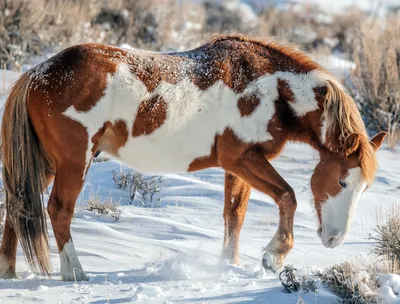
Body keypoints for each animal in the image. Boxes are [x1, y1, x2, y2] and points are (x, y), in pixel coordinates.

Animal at [0, 35, 388, 280]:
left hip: (46, 163)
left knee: (19, 206)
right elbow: (287, 197)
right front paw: (274, 255)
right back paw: (75, 272)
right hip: (73, 162)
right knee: (58, 210)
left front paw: (229, 264)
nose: (334, 239)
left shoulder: (237, 167)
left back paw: (9, 270)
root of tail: (36, 73)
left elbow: (234, 216)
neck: (274, 91)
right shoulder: (242, 159)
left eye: (365, 188)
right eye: (342, 180)